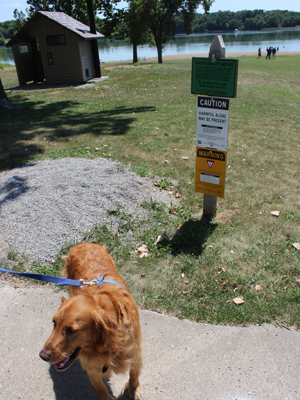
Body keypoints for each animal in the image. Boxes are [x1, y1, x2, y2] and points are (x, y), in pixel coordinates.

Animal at [39, 242, 142, 400]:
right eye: (54, 323)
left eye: (71, 330)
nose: (42, 356)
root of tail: (83, 243)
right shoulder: (92, 369)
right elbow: (102, 391)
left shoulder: (135, 352)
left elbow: (134, 375)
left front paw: (134, 390)